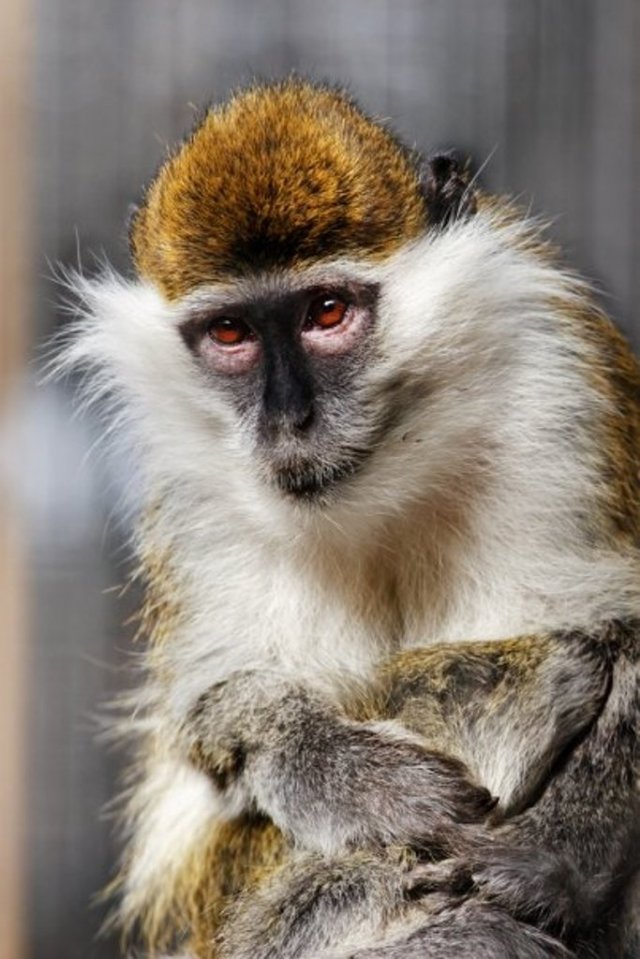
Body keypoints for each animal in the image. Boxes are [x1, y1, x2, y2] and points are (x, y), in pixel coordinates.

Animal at [57, 79, 640, 958]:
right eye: (230, 331)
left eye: (327, 312)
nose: (289, 420)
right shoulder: (195, 493)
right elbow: (214, 709)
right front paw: (344, 778)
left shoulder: (559, 394)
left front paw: (562, 851)